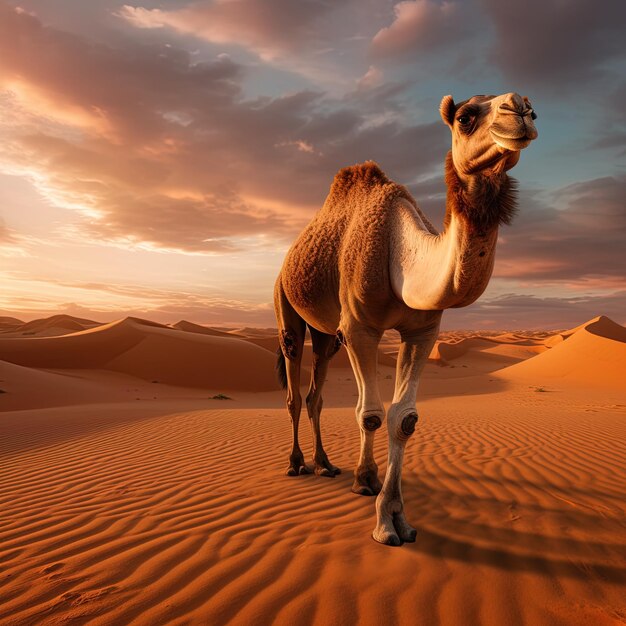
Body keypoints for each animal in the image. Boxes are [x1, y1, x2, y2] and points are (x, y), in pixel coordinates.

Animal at [272, 91, 536, 540]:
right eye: (465, 117)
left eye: (533, 109)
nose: (519, 109)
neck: (399, 252)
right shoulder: (359, 327)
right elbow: (371, 414)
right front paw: (376, 509)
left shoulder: (423, 330)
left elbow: (404, 418)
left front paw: (393, 512)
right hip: (286, 307)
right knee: (292, 386)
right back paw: (296, 464)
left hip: (326, 335)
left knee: (315, 393)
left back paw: (325, 464)